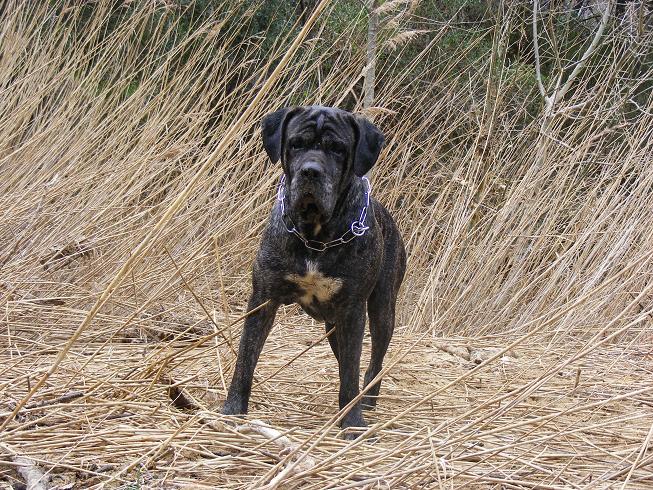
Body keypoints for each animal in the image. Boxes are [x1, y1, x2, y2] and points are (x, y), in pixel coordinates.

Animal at [224, 106, 408, 436]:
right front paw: (232, 410)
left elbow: (351, 372)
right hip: (333, 324)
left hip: (382, 309)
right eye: (296, 143)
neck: (315, 235)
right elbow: (245, 358)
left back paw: (368, 399)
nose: (311, 171)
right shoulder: (263, 299)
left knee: (374, 359)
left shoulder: (352, 310)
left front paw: (352, 422)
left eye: (338, 149)